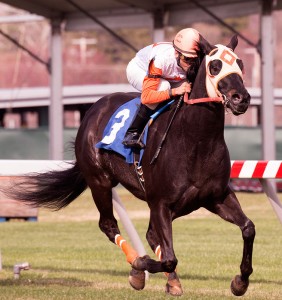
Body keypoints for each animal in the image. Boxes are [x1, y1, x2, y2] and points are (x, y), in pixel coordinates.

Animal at [4, 34, 256, 296]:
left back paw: (171, 280)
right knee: (109, 225)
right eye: (214, 66)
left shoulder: (216, 196)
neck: (196, 141)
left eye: (240, 64)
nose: (241, 98)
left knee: (152, 235)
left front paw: (240, 281)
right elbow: (169, 258)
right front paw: (138, 267)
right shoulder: (160, 203)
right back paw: (138, 262)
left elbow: (248, 228)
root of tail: (94, 109)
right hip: (100, 182)